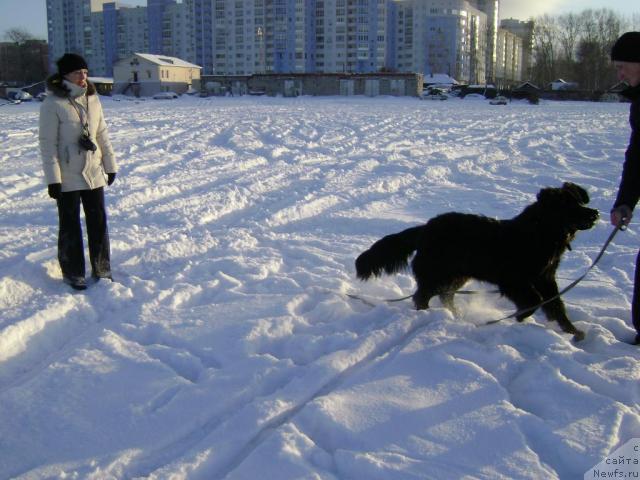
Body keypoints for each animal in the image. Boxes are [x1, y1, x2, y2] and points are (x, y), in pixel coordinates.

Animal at [356, 182, 600, 340]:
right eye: (568, 206)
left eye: (579, 201)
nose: (595, 213)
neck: (540, 233)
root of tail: (425, 229)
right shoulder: (514, 280)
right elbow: (534, 301)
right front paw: (522, 317)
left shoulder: (546, 278)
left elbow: (556, 305)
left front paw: (573, 332)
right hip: (438, 273)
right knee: (422, 296)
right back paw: (428, 314)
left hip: (456, 275)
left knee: (444, 296)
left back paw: (455, 316)